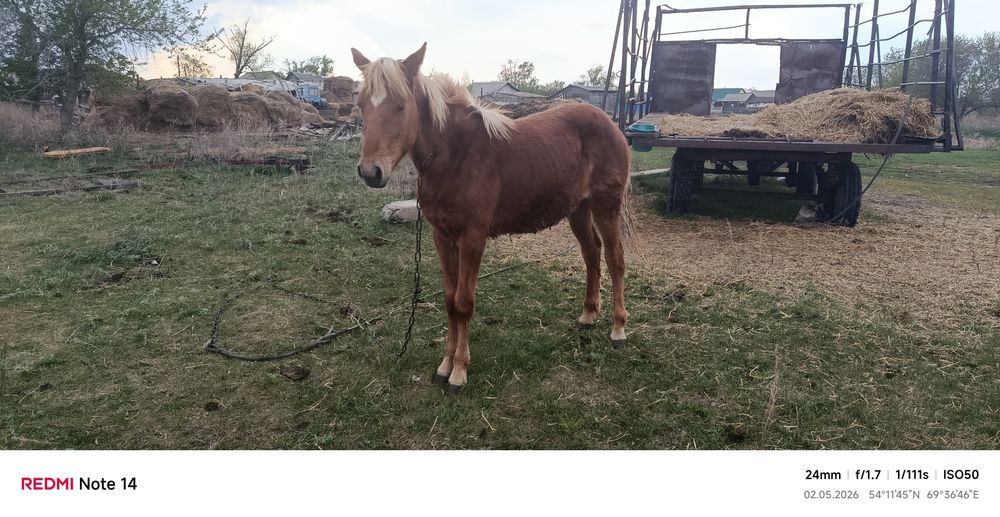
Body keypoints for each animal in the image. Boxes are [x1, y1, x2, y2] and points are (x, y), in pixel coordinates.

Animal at [351, 43, 633, 393]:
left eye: (401, 106)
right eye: (361, 104)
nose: (370, 172)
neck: (455, 155)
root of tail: (608, 122)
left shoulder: (472, 238)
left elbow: (464, 302)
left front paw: (459, 372)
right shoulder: (442, 237)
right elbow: (449, 300)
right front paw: (444, 365)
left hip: (606, 206)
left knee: (614, 258)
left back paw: (618, 329)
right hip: (578, 210)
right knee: (592, 254)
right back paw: (588, 316)